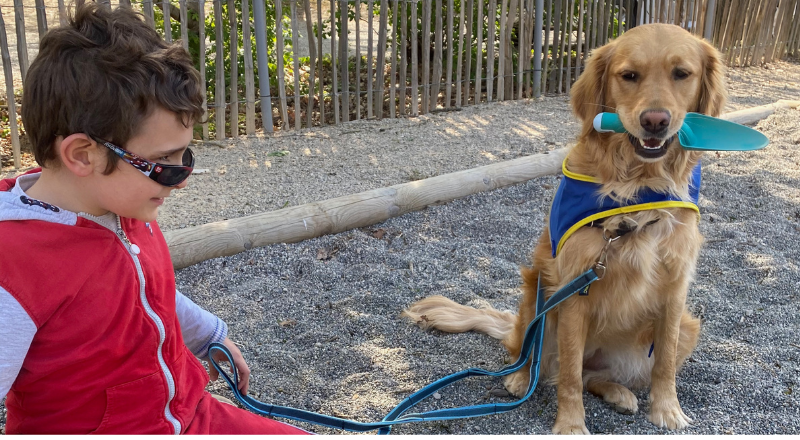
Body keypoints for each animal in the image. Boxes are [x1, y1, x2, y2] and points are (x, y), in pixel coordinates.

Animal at [404, 23, 728, 434]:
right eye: (629, 76)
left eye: (681, 74)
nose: (655, 120)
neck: (638, 186)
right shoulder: (575, 289)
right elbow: (570, 373)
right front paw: (571, 424)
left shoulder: (674, 290)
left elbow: (665, 362)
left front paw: (668, 410)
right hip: (537, 293)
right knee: (537, 359)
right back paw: (519, 379)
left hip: (687, 327)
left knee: (595, 375)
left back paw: (620, 393)